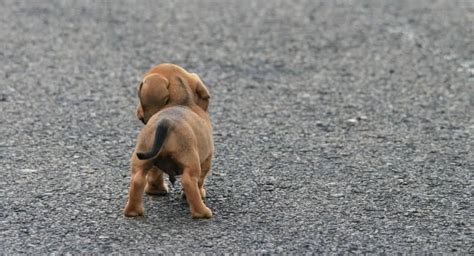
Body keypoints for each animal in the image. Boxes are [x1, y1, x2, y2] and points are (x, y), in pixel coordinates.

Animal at [123, 65, 214, 218]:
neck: (181, 102)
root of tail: (166, 123)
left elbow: (155, 174)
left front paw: (156, 190)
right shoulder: (207, 158)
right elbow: (200, 180)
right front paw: (200, 193)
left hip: (141, 158)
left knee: (137, 180)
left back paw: (133, 211)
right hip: (191, 162)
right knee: (189, 182)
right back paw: (202, 212)